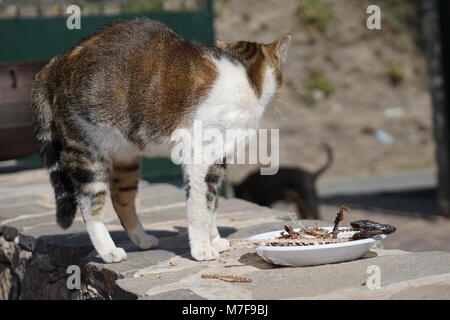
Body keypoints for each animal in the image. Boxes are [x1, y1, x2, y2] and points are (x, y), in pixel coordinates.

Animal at [32, 18, 292, 262]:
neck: (247, 80)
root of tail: (56, 62)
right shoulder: (201, 159)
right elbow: (200, 207)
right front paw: (202, 249)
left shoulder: (218, 163)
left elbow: (213, 205)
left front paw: (215, 240)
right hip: (88, 152)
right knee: (89, 205)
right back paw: (109, 252)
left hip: (126, 158)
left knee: (121, 199)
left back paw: (142, 239)